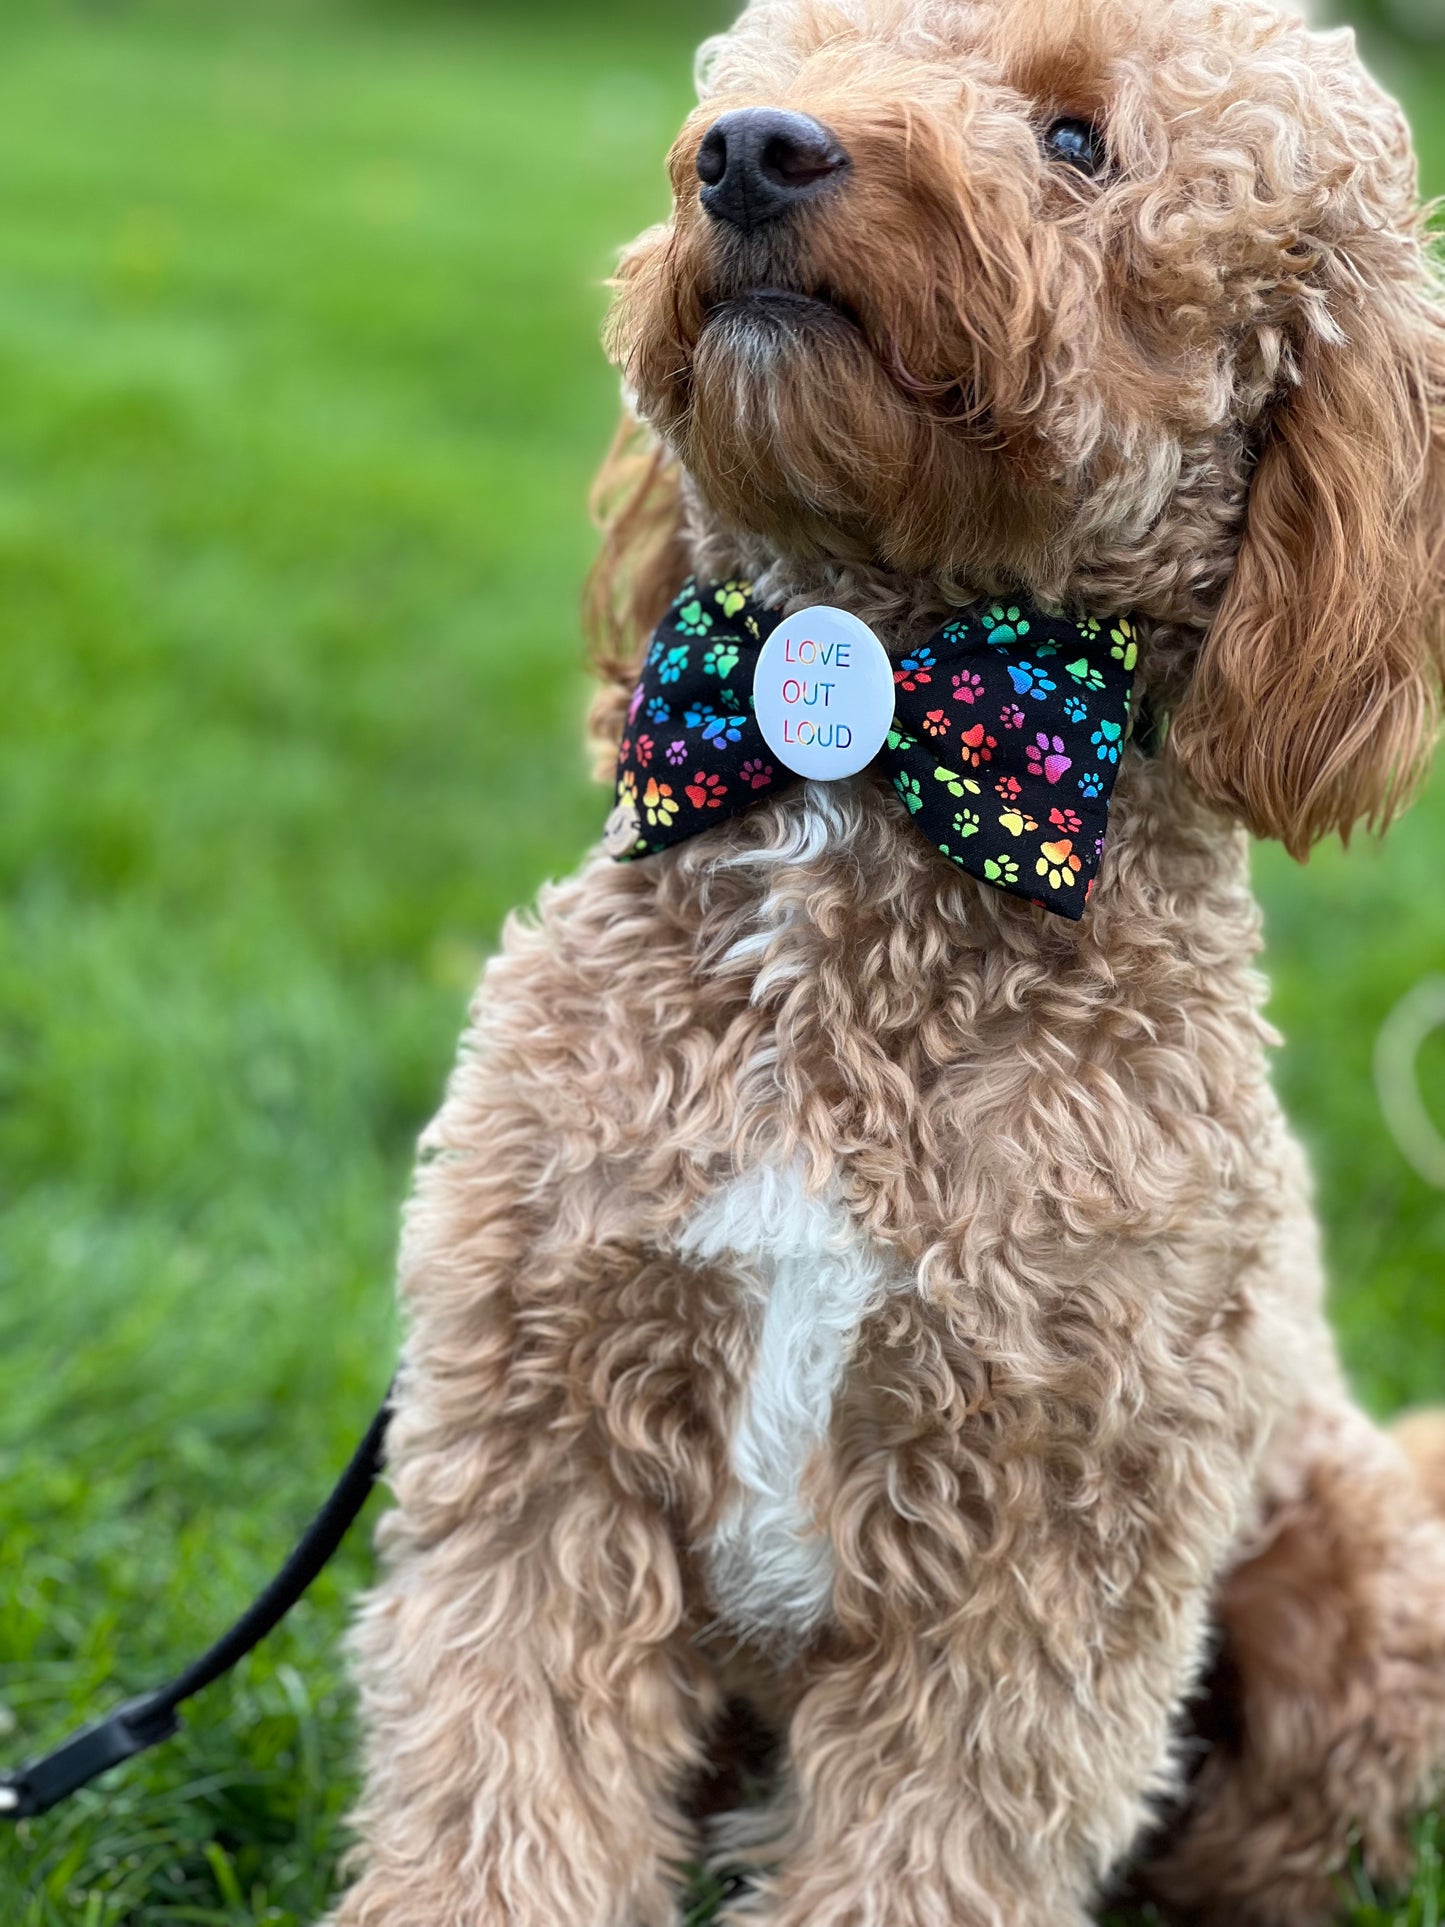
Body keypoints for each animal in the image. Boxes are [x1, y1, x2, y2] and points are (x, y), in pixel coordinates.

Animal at [327, 3, 1445, 1927]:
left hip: (1364, 1584)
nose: (751, 151)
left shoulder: (1039, 1559)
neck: (875, 747)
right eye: (788, 54)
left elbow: (933, 1841)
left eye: (1077, 140)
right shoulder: (539, 1439)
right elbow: (501, 1792)